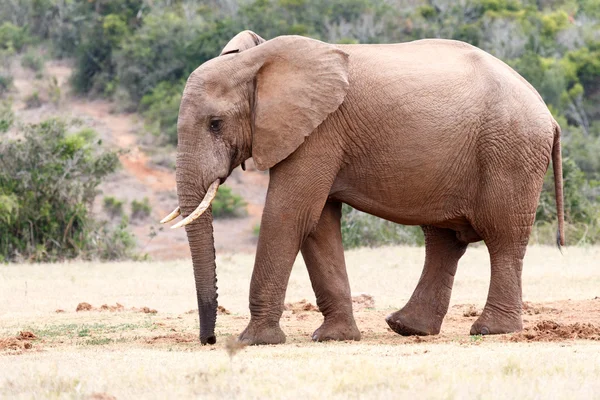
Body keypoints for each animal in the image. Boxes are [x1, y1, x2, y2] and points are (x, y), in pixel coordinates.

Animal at [159, 31, 564, 346]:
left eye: (215, 123)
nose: (209, 339)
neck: (259, 60)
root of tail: (549, 113)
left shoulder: (319, 131)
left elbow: (290, 214)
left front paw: (252, 341)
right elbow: (318, 223)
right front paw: (334, 337)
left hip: (511, 152)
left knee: (502, 237)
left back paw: (489, 331)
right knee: (444, 240)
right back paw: (406, 327)